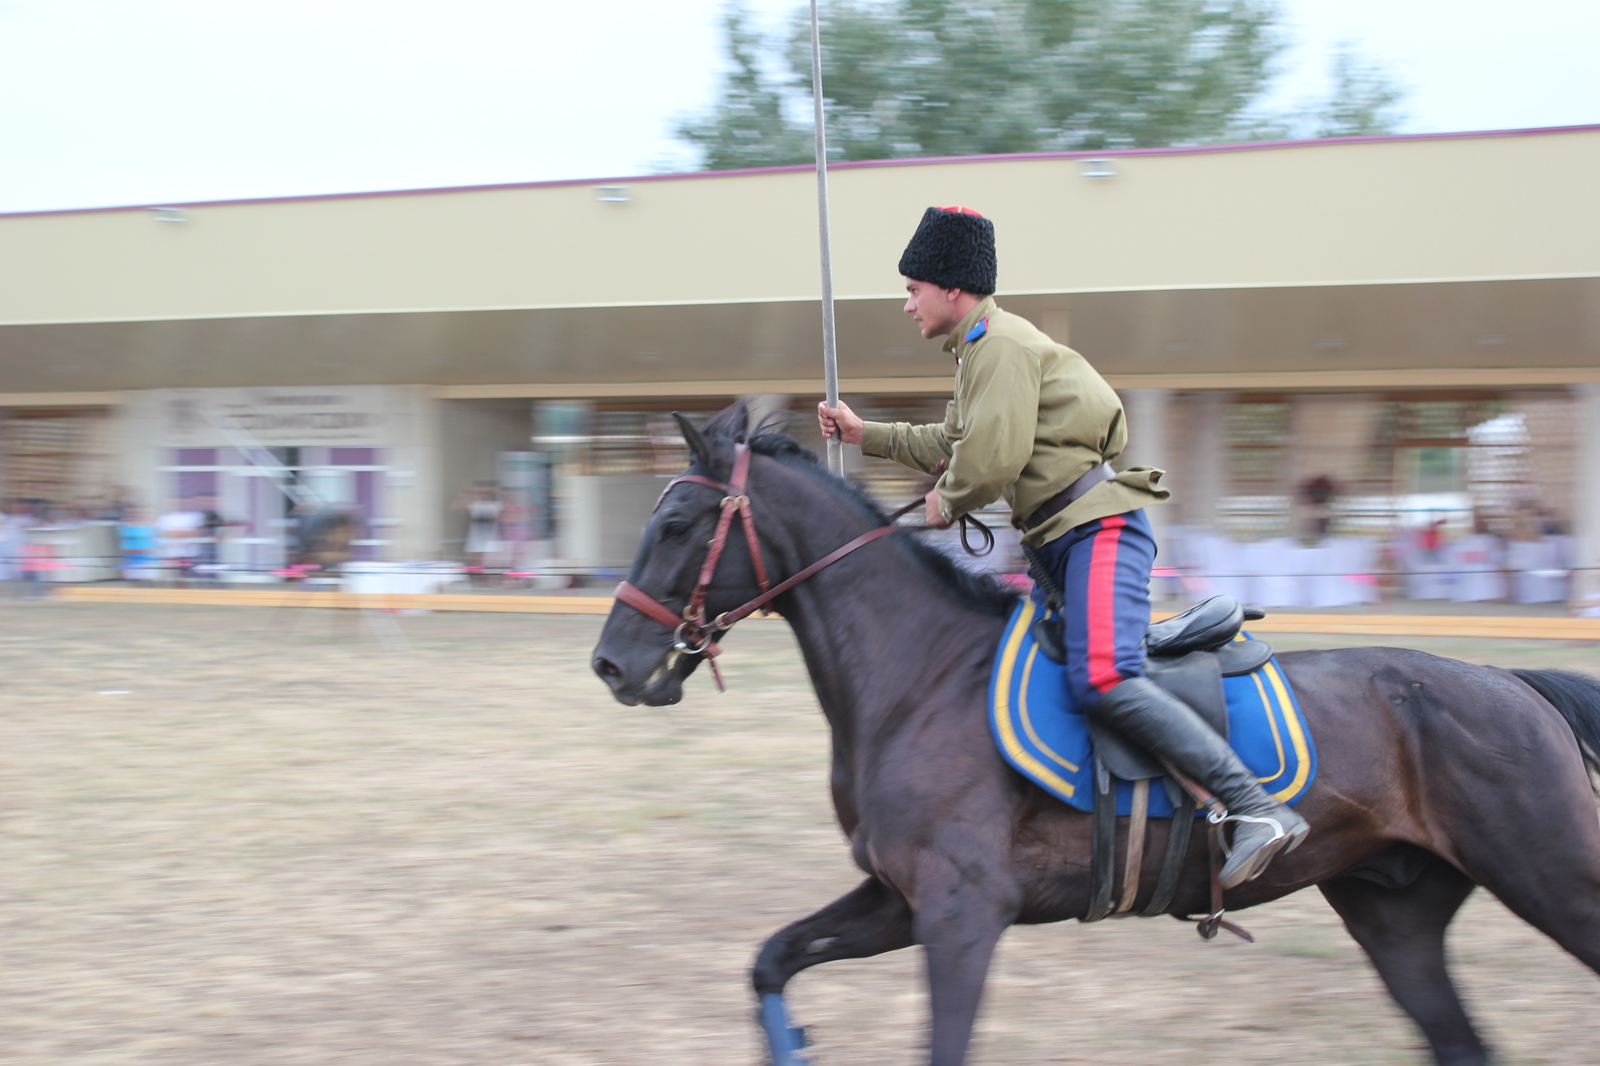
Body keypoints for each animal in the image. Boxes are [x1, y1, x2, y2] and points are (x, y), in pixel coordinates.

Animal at [592, 403, 1600, 1056]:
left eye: (676, 523)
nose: (611, 663)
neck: (919, 675)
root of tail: (1513, 685)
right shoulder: (898, 902)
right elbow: (771, 962)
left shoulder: (961, 916)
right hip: (1395, 913)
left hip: (1556, 881)